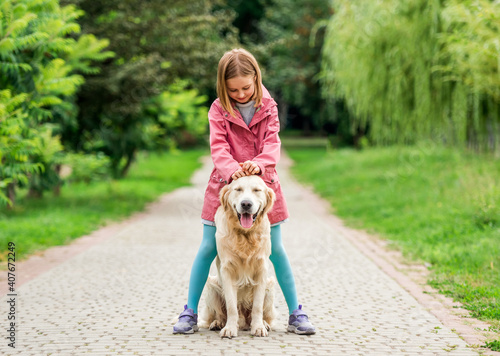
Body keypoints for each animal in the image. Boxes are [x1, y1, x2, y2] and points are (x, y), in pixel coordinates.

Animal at [199, 177, 278, 338]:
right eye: (238, 189)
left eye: (256, 190)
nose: (246, 204)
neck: (245, 235)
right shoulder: (227, 271)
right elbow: (231, 306)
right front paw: (229, 328)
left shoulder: (261, 270)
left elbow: (257, 306)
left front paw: (258, 327)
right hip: (212, 286)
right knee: (220, 314)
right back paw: (218, 323)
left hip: (270, 286)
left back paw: (264, 324)